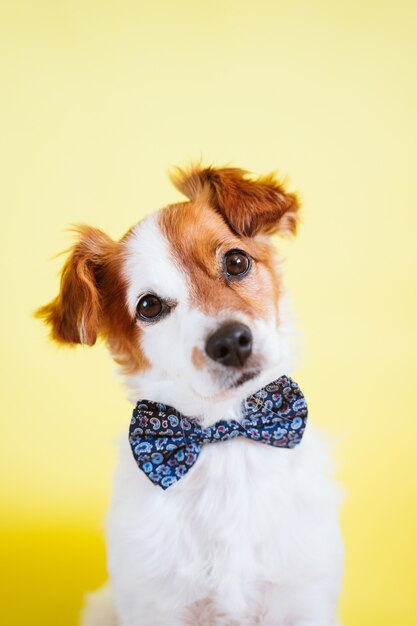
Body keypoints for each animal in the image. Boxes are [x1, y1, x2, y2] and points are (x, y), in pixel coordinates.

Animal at [36, 163, 342, 620]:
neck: (225, 442)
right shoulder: (159, 604)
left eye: (236, 261)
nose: (231, 342)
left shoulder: (301, 596)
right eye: (149, 306)